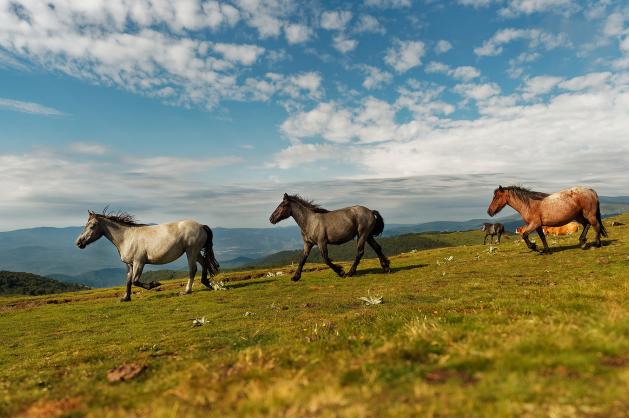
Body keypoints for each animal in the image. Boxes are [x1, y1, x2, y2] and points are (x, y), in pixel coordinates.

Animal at [75, 211, 220, 302]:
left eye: (92, 226)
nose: (79, 242)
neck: (127, 237)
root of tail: (201, 226)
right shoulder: (130, 264)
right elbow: (128, 281)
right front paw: (126, 298)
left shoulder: (139, 262)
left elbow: (135, 281)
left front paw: (154, 284)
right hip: (195, 252)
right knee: (204, 263)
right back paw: (207, 283)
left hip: (191, 251)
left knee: (193, 269)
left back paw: (187, 290)